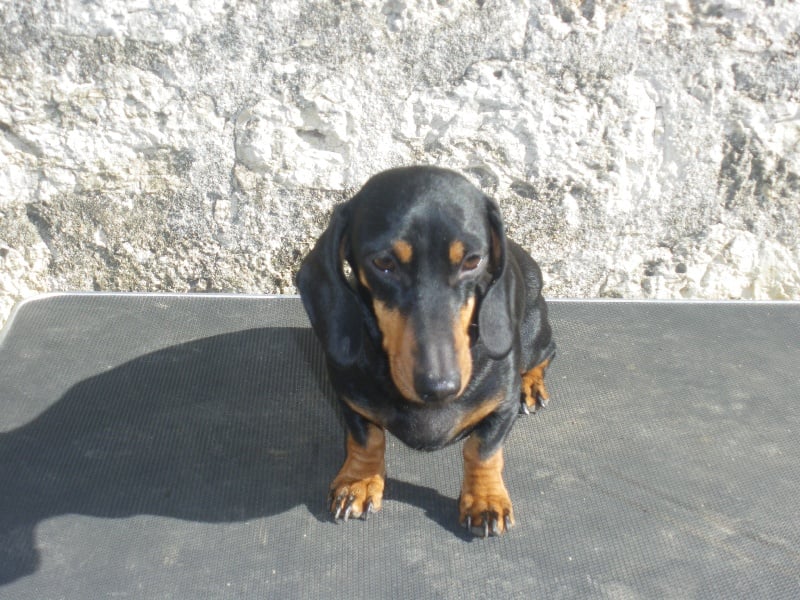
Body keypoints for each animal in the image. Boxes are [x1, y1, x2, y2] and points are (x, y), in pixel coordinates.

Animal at [296, 166, 555, 537]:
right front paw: (359, 482)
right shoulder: (349, 399)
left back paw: (532, 386)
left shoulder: (502, 405)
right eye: (383, 262)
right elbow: (366, 439)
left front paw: (485, 499)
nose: (439, 387)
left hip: (534, 337)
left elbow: (482, 449)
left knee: (548, 352)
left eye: (473, 260)